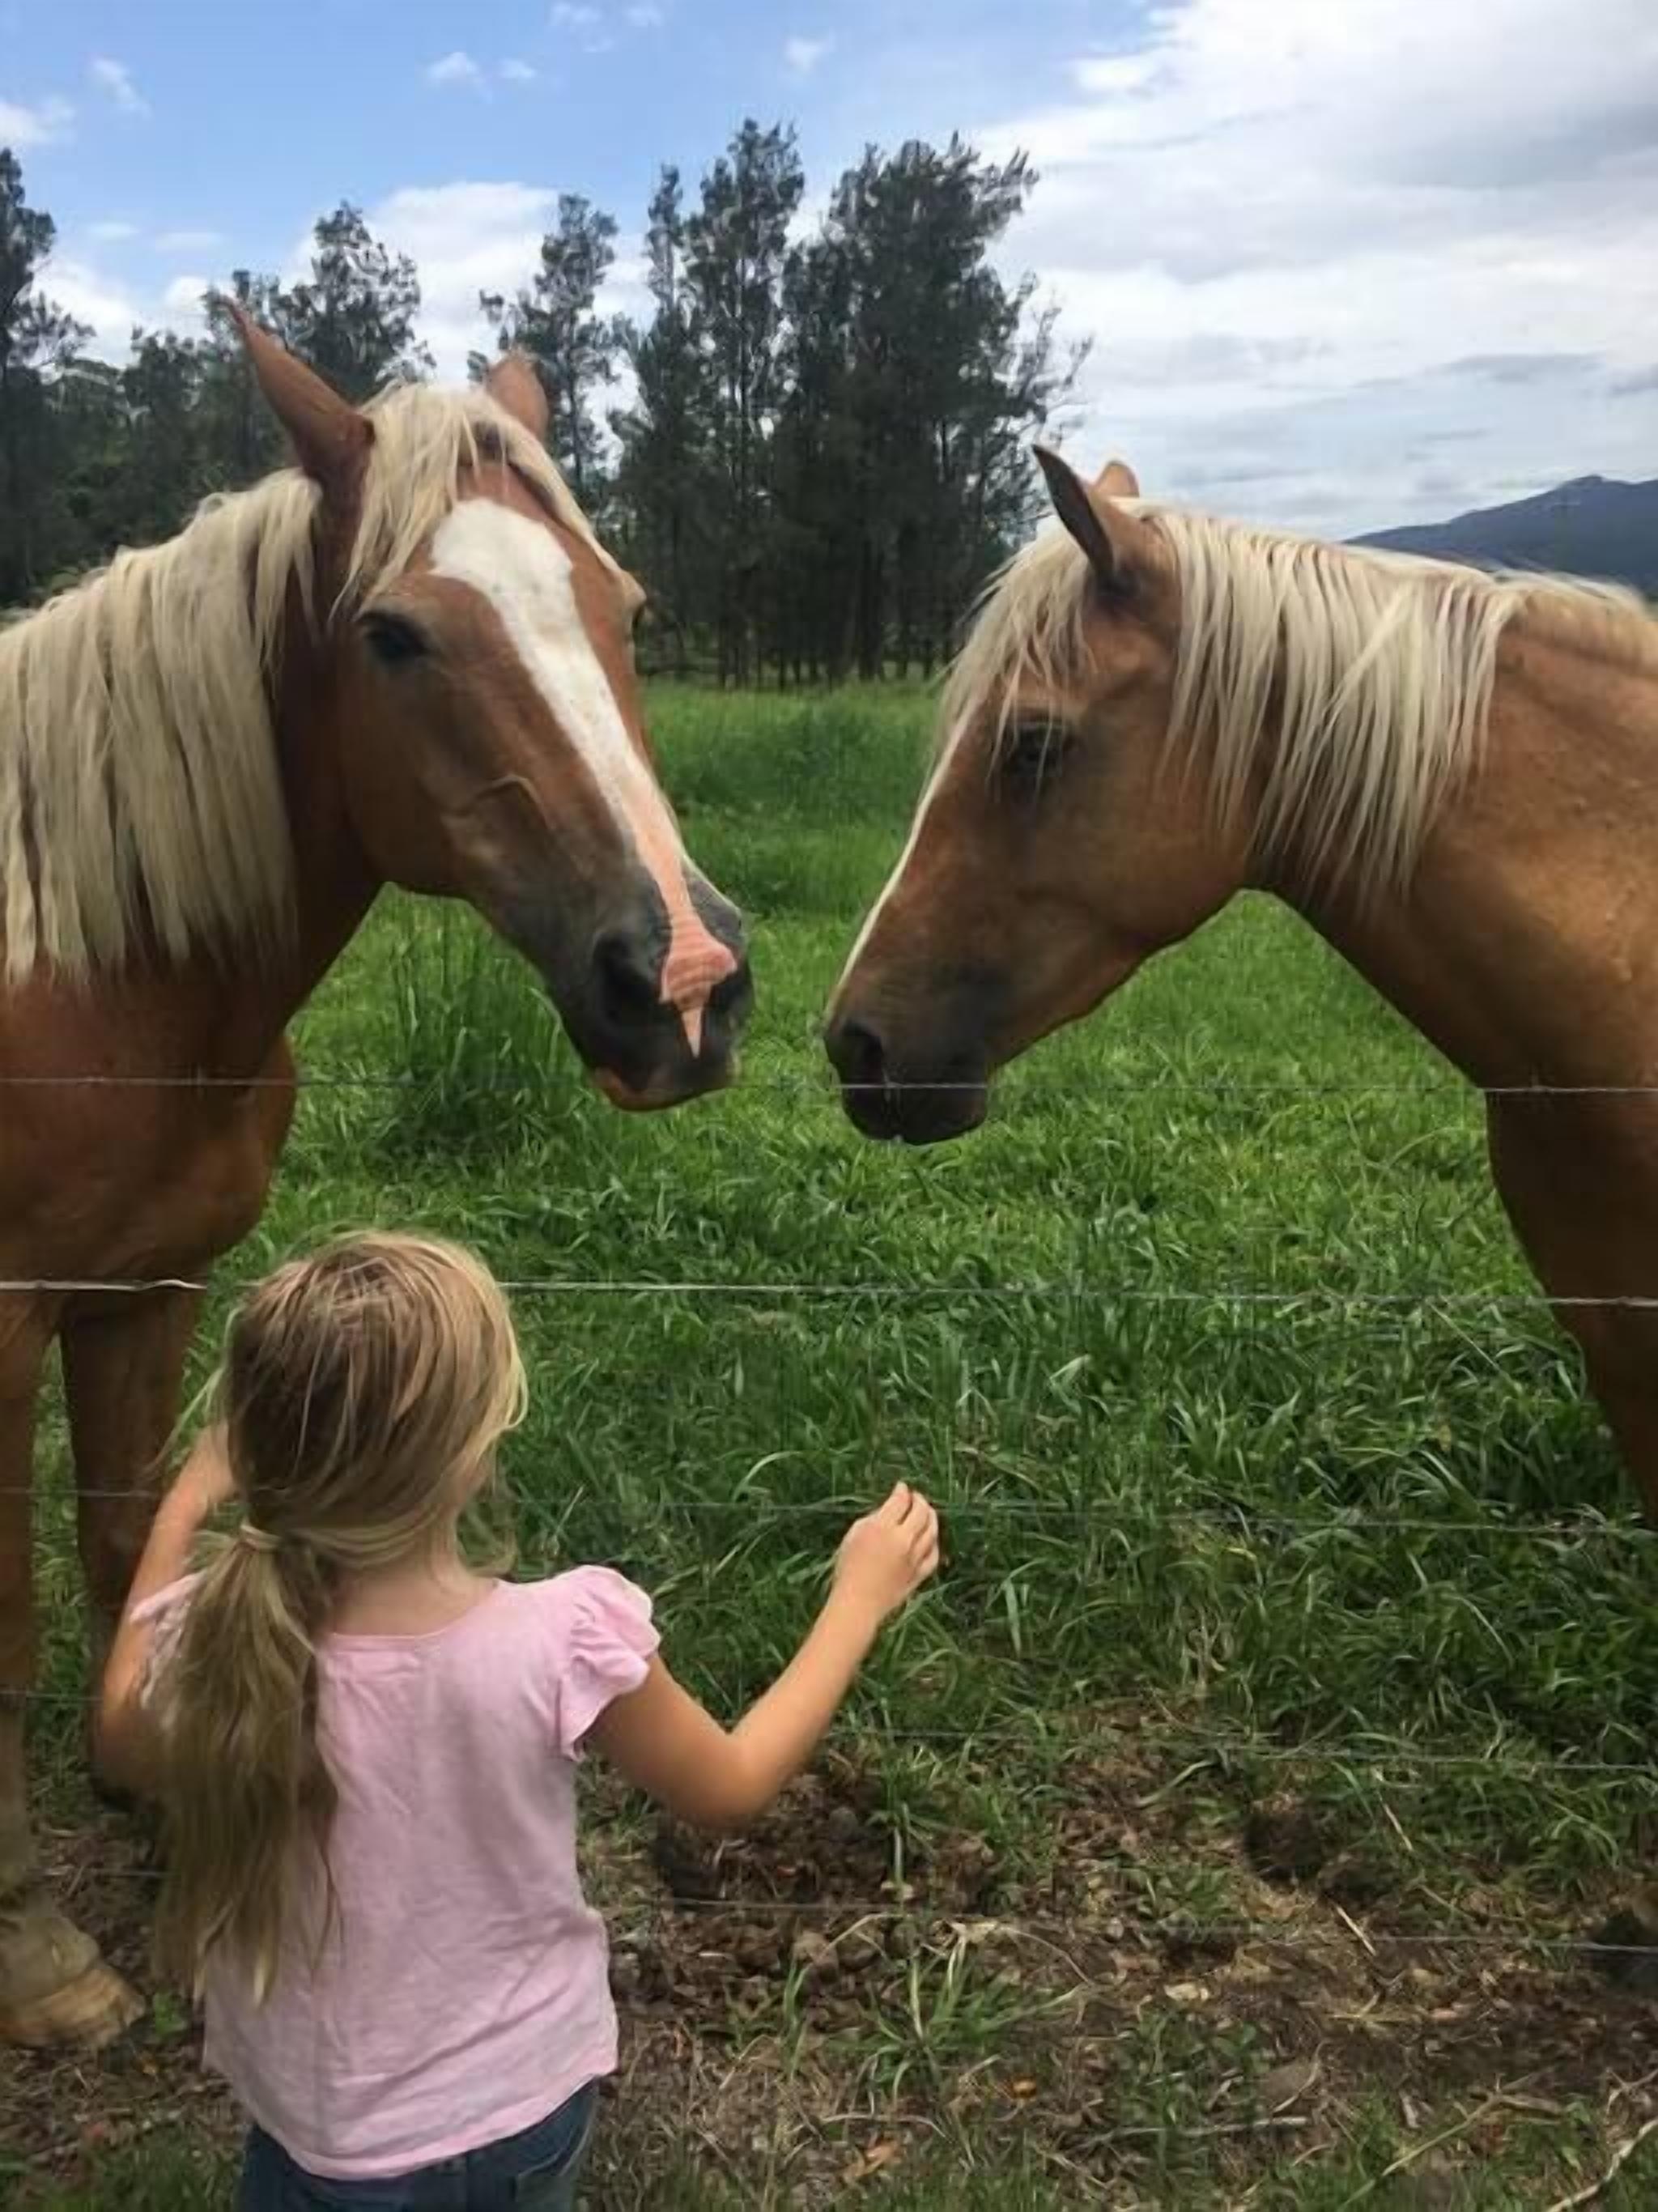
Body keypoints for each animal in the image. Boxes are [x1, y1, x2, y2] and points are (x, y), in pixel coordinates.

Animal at [0, 321, 751, 2049]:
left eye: (627, 611)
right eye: (395, 635)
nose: (682, 986)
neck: (83, 968)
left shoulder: (142, 1290)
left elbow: (120, 1539)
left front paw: (157, 1780)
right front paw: (28, 1942)